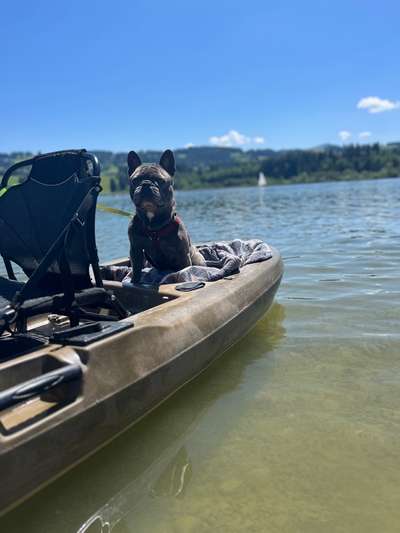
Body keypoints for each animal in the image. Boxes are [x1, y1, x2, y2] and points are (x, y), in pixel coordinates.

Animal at [127, 150, 205, 282]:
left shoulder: (182, 254)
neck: (153, 226)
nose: (146, 184)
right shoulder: (135, 249)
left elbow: (185, 270)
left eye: (160, 180)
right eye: (135, 180)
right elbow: (136, 268)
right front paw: (134, 281)